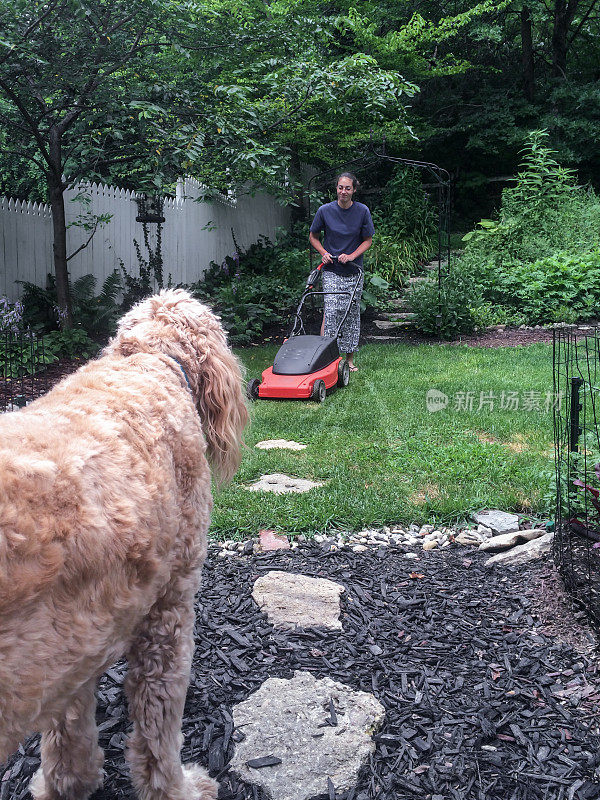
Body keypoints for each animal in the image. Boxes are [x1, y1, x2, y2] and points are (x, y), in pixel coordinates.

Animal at [0, 290, 247, 800]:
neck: (148, 359)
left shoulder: (74, 643)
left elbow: (67, 732)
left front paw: (67, 783)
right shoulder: (168, 612)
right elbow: (157, 726)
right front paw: (177, 789)